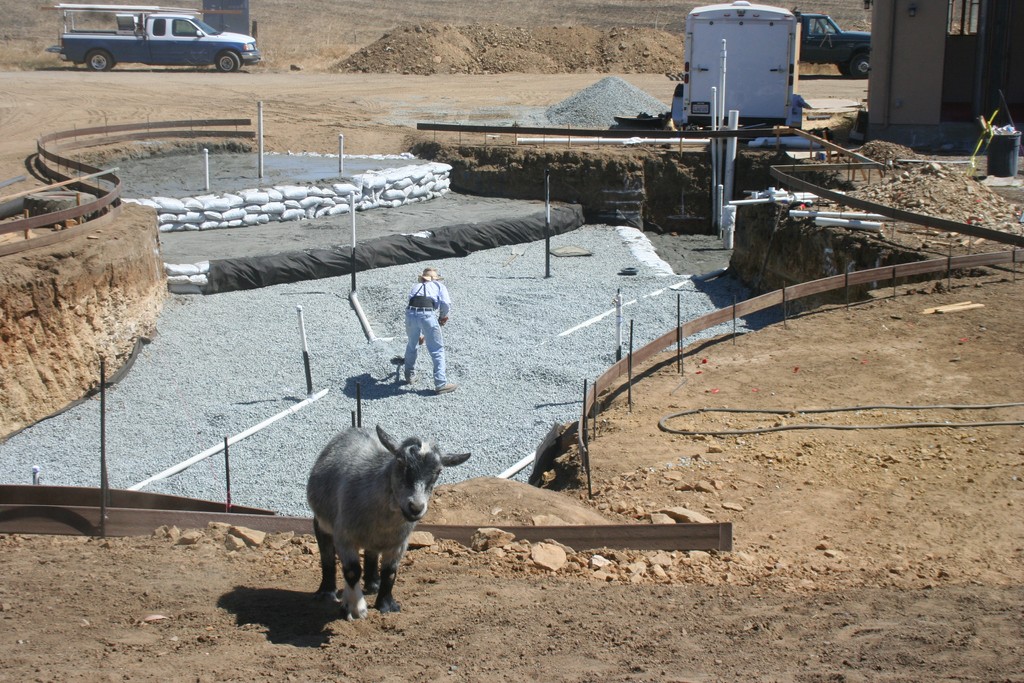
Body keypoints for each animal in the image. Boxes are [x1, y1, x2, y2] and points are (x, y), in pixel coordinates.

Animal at [305, 423, 468, 622]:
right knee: (327, 553)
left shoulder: (399, 542)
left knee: (372, 552)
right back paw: (326, 592)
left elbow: (390, 572)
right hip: (322, 521)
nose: (416, 507)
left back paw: (373, 583)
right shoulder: (344, 536)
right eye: (400, 462)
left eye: (438, 471)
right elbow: (352, 571)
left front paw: (386, 605)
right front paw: (355, 609)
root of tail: (356, 428)